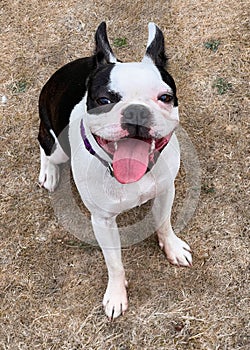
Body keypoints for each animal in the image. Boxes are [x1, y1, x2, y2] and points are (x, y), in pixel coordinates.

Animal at [38, 22, 192, 320]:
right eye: (104, 100)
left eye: (165, 98)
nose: (136, 112)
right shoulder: (102, 221)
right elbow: (115, 262)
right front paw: (116, 295)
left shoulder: (166, 190)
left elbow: (164, 222)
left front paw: (172, 247)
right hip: (57, 145)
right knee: (44, 144)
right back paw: (48, 173)